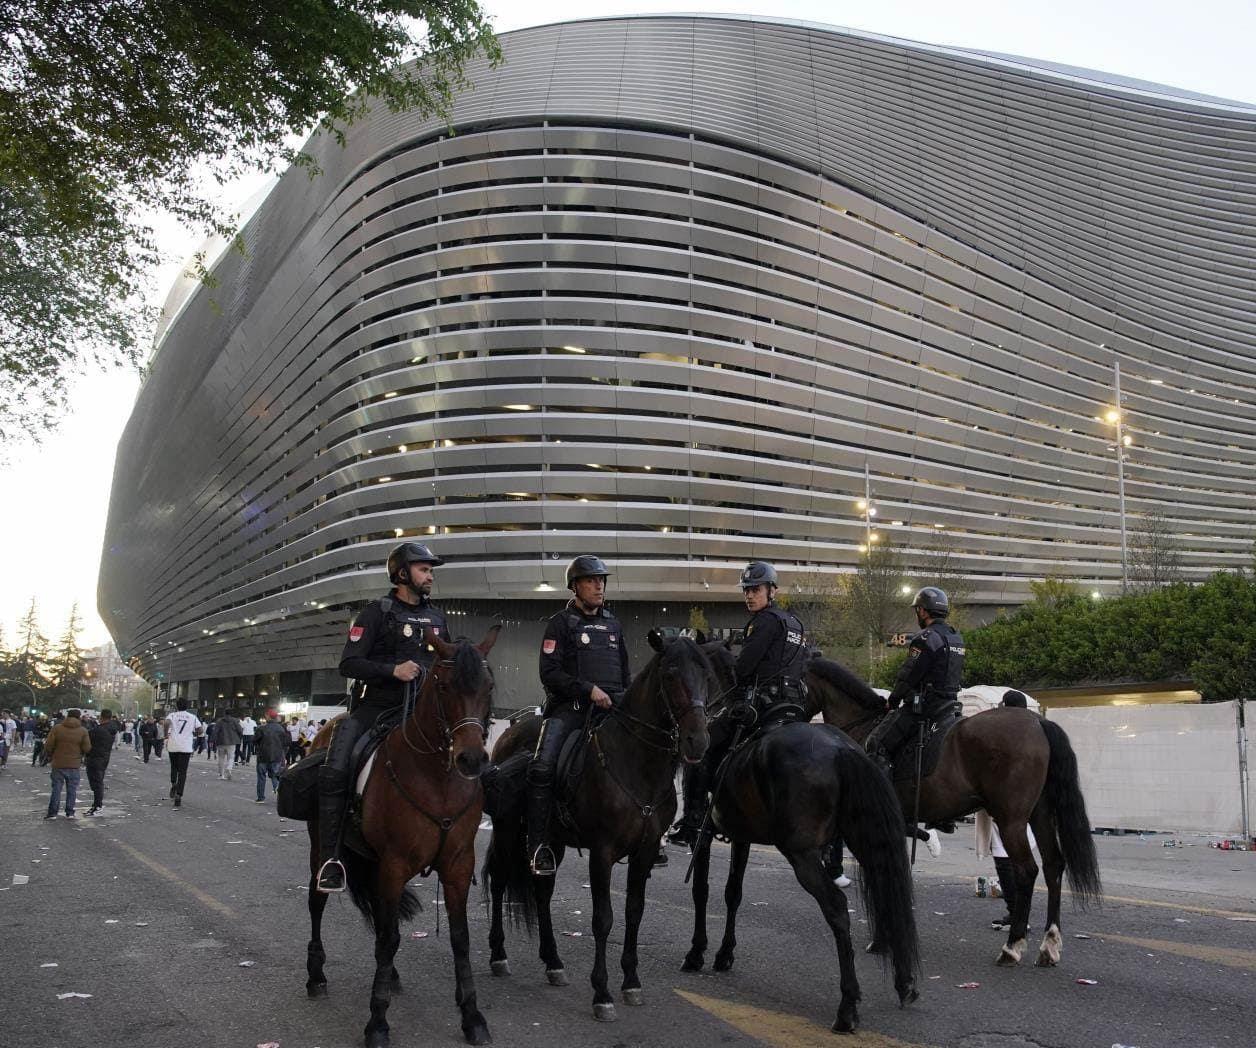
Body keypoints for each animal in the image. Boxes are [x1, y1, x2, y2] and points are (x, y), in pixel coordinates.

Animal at [301, 625, 497, 1040]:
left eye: (488, 686)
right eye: (444, 686)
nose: (472, 759)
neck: (438, 780)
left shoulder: (457, 865)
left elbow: (459, 939)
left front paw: (472, 1016)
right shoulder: (394, 864)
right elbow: (390, 936)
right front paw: (377, 1021)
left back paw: (388, 974)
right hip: (322, 846)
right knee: (317, 900)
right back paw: (316, 974)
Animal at [479, 633, 713, 1015]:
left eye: (707, 675)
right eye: (670, 675)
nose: (698, 741)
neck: (638, 766)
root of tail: (512, 730)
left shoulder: (645, 851)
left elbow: (634, 912)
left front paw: (630, 981)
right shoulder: (603, 852)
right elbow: (603, 919)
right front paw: (601, 992)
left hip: (551, 839)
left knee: (542, 890)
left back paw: (553, 961)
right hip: (507, 827)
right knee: (499, 880)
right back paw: (498, 955)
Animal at [688, 640, 924, 1035]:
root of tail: (843, 749)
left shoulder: (704, 837)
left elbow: (701, 890)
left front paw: (697, 952)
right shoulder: (741, 837)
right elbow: (733, 893)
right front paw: (724, 953)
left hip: (801, 853)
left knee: (837, 909)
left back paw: (848, 1007)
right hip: (865, 840)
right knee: (890, 893)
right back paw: (904, 982)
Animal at [803, 658, 1100, 970]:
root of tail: (1038, 722)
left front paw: (882, 940)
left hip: (1011, 820)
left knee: (1027, 871)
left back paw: (1013, 946)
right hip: (1040, 814)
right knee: (1054, 865)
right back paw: (1049, 944)